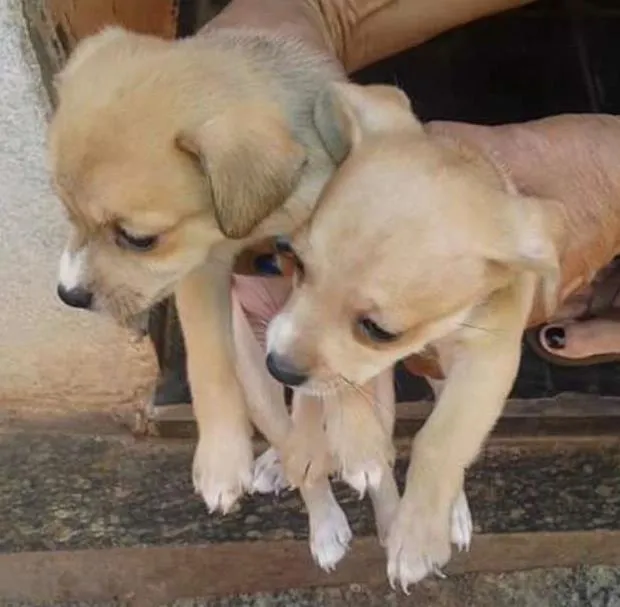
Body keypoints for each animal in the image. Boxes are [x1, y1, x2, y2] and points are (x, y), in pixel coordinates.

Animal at [266, 79, 620, 588]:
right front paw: (358, 444)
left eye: (378, 329)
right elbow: (344, 383)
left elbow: (442, 435)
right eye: (293, 259)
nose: (277, 368)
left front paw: (417, 535)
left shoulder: (488, 358)